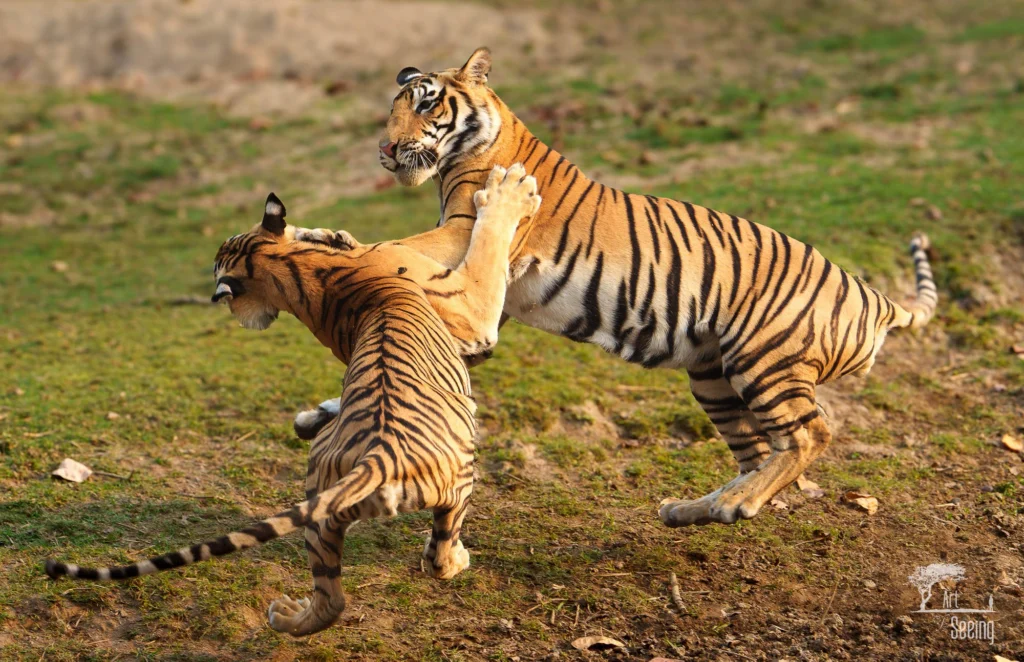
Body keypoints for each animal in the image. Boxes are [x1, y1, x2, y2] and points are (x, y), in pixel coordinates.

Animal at [44, 164, 542, 637]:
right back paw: (455, 559)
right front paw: (509, 191)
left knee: (332, 597)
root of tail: (381, 458)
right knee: (436, 555)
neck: (291, 268)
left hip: (321, 507)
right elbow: (487, 242)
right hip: (459, 480)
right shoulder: (474, 310)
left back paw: (285, 619)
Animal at [296, 47, 938, 529]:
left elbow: (393, 249)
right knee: (759, 451)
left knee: (811, 433)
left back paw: (735, 503)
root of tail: (871, 295)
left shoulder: (460, 235)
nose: (385, 149)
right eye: (393, 109)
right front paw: (317, 412)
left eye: (427, 104)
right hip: (713, 379)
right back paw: (697, 509)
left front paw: (325, 245)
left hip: (764, 361)